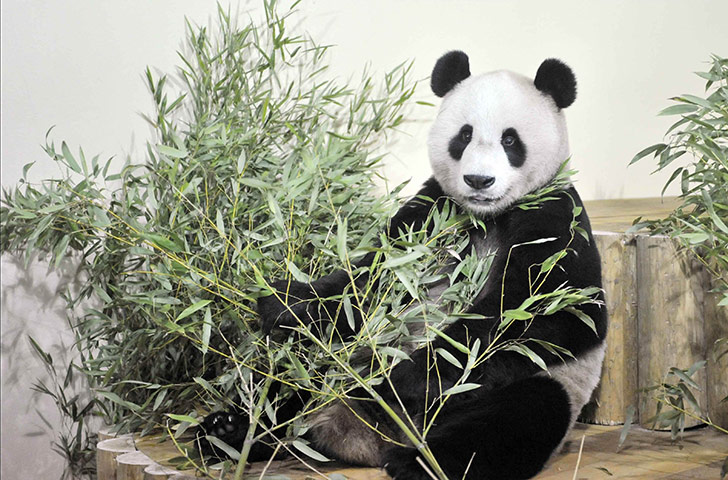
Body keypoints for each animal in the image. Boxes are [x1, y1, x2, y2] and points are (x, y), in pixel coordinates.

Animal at [201, 51, 607, 480]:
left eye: (510, 140)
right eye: (464, 136)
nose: (479, 180)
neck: (488, 217)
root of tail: (367, 440)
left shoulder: (555, 217)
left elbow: (548, 313)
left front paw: (402, 377)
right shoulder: (431, 213)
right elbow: (368, 280)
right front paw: (285, 302)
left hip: (523, 388)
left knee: (513, 420)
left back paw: (418, 461)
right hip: (330, 362)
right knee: (292, 380)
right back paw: (229, 430)